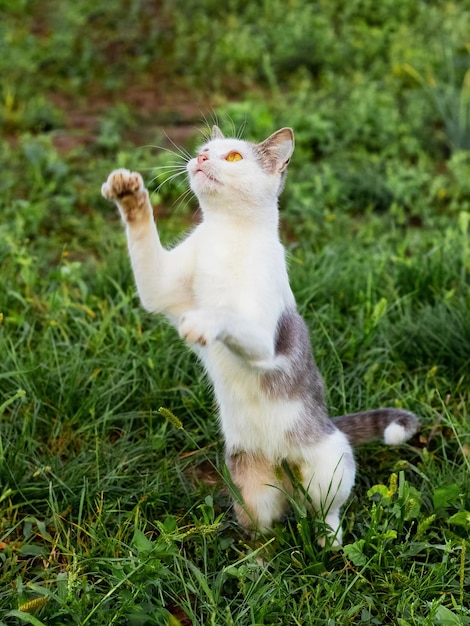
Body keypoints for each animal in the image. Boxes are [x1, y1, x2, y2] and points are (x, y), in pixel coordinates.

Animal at [101, 124, 416, 544]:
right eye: (205, 149)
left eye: (234, 156)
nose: (201, 158)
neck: (226, 237)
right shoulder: (160, 289)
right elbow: (145, 250)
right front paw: (129, 193)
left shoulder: (265, 340)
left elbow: (230, 317)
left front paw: (205, 321)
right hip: (250, 488)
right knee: (264, 528)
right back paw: (259, 554)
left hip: (327, 470)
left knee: (327, 510)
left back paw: (328, 541)